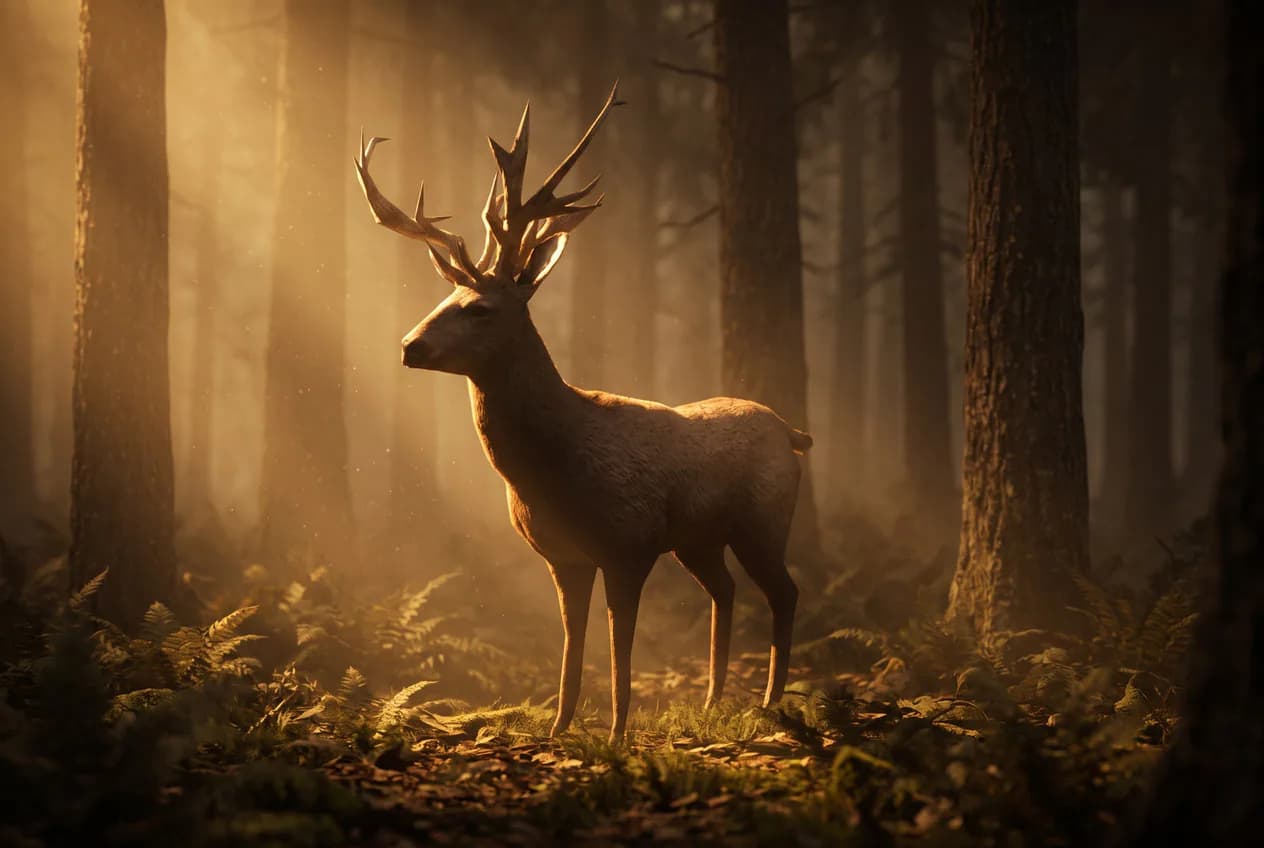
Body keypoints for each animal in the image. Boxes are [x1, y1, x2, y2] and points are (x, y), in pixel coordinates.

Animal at [353, 84, 812, 742]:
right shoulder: (564, 556)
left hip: (764, 518)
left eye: (481, 308)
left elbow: (620, 647)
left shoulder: (629, 543)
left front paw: (617, 734)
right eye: (447, 295)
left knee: (784, 592)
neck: (557, 469)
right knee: (724, 590)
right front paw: (558, 729)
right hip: (699, 538)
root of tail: (793, 433)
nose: (409, 346)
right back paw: (711, 703)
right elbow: (573, 643)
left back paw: (770, 703)